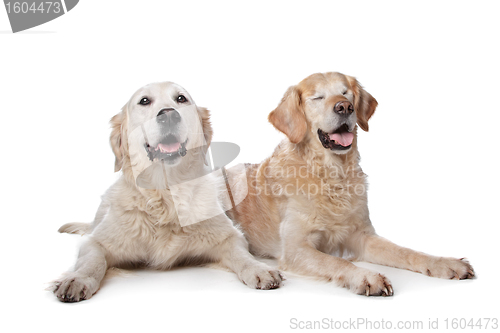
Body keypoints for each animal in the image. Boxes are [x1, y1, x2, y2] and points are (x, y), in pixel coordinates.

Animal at [52, 80, 286, 300]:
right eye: (144, 101)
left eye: (181, 98)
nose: (169, 115)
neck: (166, 193)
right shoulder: (97, 242)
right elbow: (92, 261)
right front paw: (77, 279)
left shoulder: (230, 236)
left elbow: (243, 256)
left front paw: (259, 269)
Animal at [226, 72, 472, 296]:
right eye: (317, 97)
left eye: (345, 93)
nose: (344, 107)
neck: (333, 175)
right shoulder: (296, 248)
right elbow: (338, 262)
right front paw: (367, 277)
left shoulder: (362, 236)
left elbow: (404, 251)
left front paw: (444, 263)